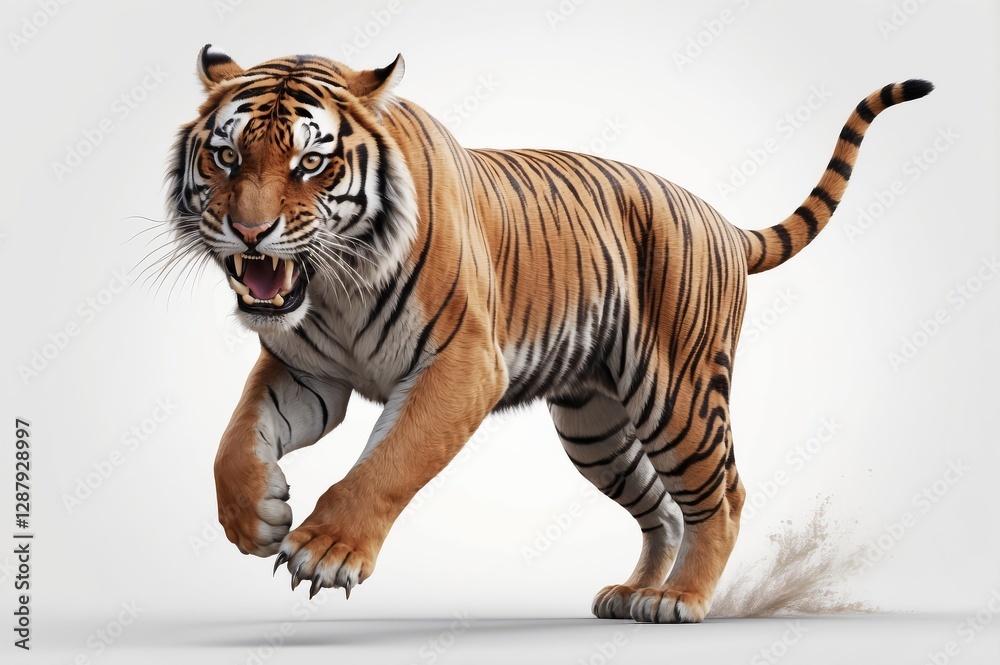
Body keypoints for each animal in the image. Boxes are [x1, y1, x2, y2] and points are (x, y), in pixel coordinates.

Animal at [166, 44, 932, 623]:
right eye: (227, 158)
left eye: (311, 163)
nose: (250, 231)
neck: (331, 287)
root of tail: (720, 219)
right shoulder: (305, 373)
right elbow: (235, 440)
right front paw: (255, 516)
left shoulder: (462, 364)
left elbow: (389, 464)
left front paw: (325, 550)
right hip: (597, 430)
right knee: (664, 510)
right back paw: (636, 592)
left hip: (678, 397)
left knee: (722, 496)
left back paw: (680, 599)